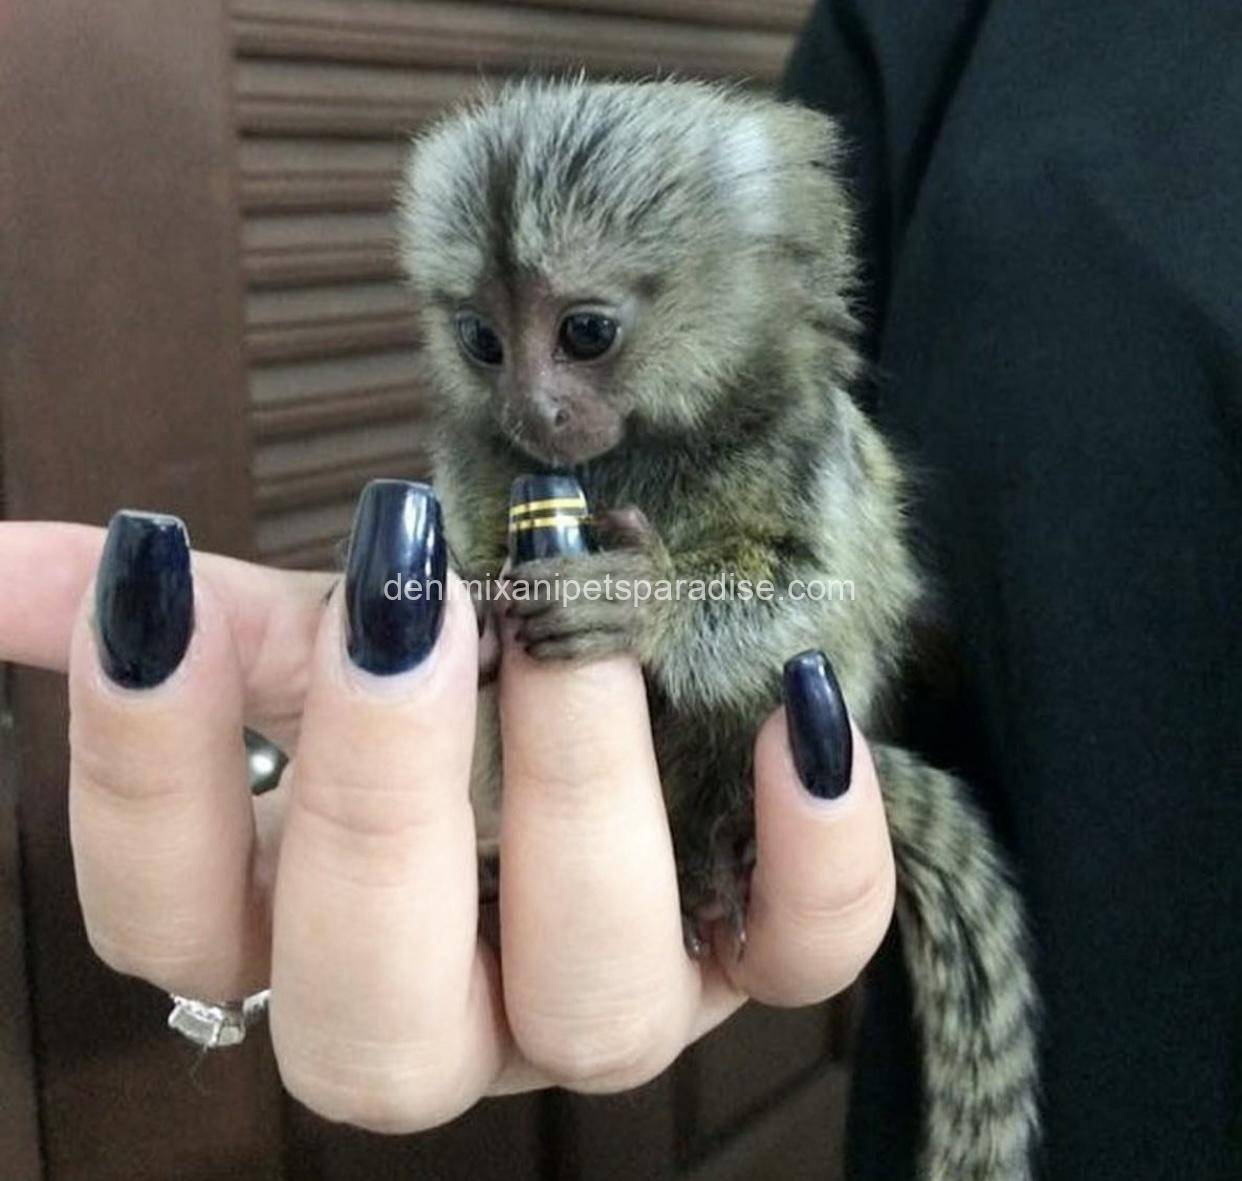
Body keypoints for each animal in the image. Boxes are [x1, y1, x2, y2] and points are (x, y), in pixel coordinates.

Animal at [395, 78, 1040, 1181]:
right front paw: (471, 608)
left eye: (586, 332)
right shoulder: (480, 466)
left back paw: (715, 850)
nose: (532, 408)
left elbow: (813, 591)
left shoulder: (804, 447)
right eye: (482, 340)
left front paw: (639, 603)